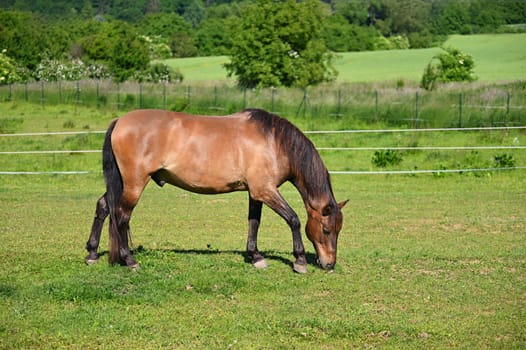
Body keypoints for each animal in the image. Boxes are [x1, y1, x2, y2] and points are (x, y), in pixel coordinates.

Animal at [85, 108, 350, 272]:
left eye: (339, 230)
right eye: (326, 230)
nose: (329, 264)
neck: (274, 142)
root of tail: (119, 122)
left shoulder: (256, 193)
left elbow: (254, 222)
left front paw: (256, 257)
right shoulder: (266, 191)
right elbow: (293, 219)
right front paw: (300, 261)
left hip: (122, 184)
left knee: (103, 207)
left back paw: (92, 254)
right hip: (134, 184)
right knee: (122, 216)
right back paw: (129, 260)